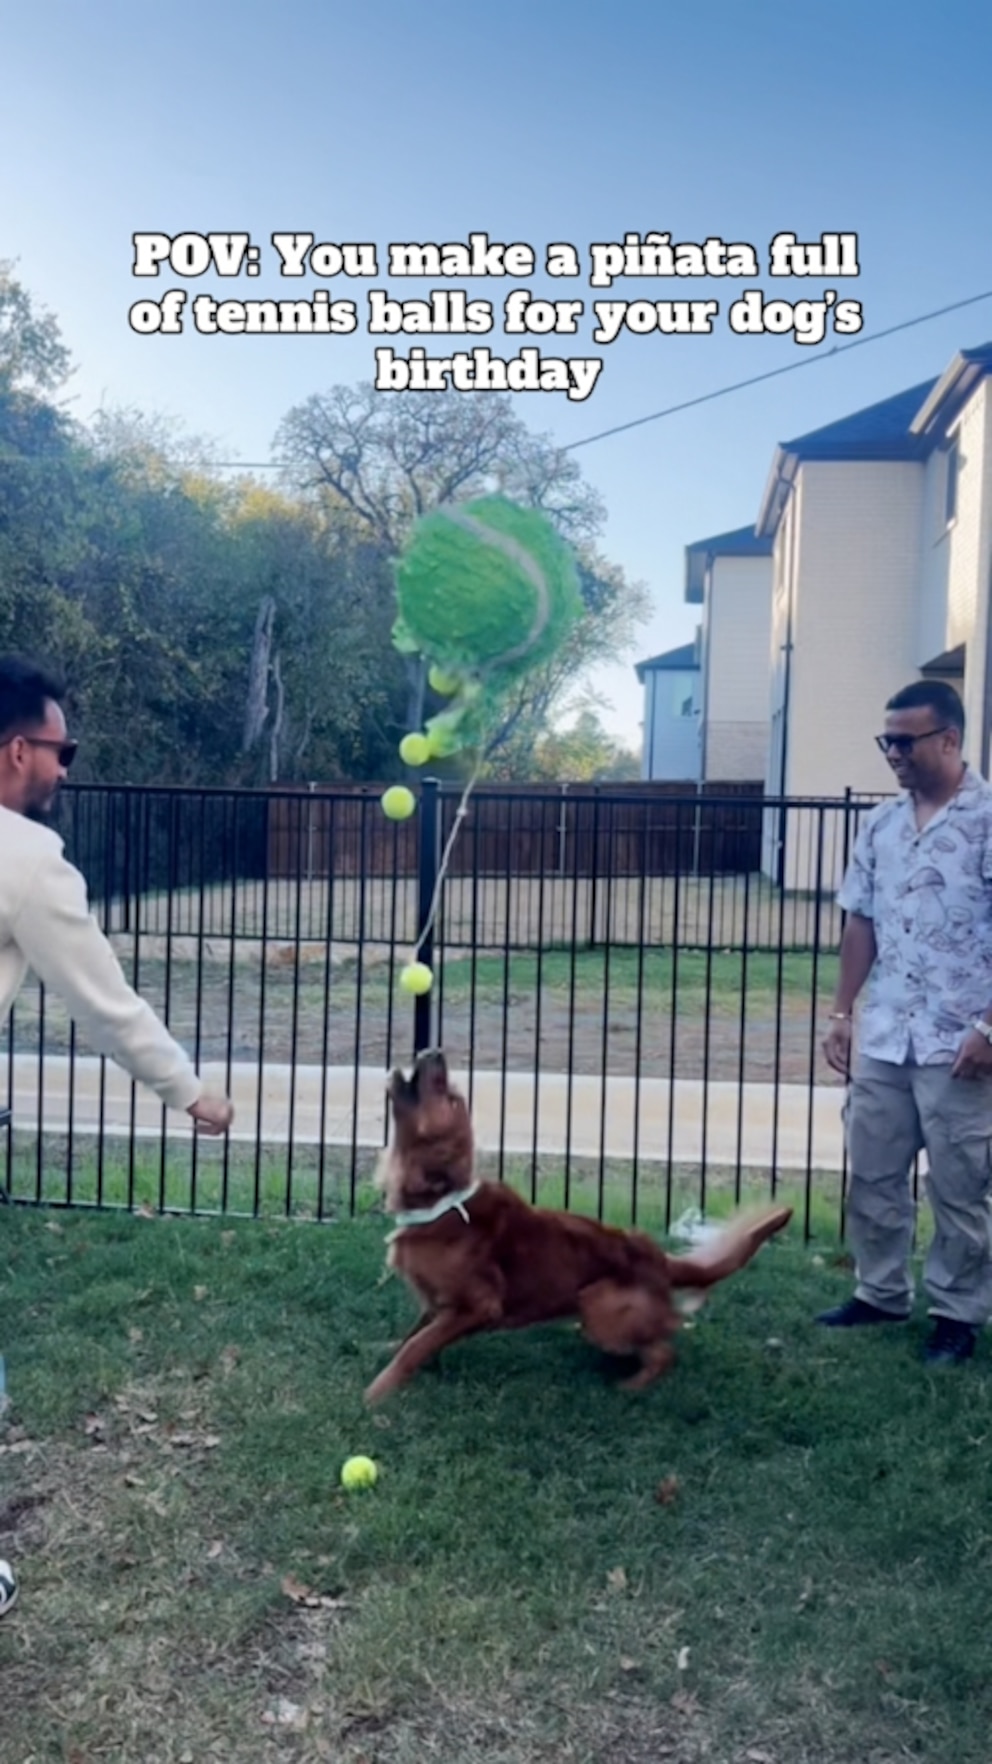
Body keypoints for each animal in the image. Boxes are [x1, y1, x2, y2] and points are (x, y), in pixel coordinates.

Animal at [363, 1044, 787, 1404]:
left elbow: (418, 1345)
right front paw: (390, 1351)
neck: (442, 1204)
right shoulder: (439, 1303)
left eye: (451, 1099)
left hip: (599, 1306)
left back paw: (633, 1385)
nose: (434, 1050)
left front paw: (379, 1391)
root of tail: (658, 1260)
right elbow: (416, 1334)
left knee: (664, 1350)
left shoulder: (480, 1305)